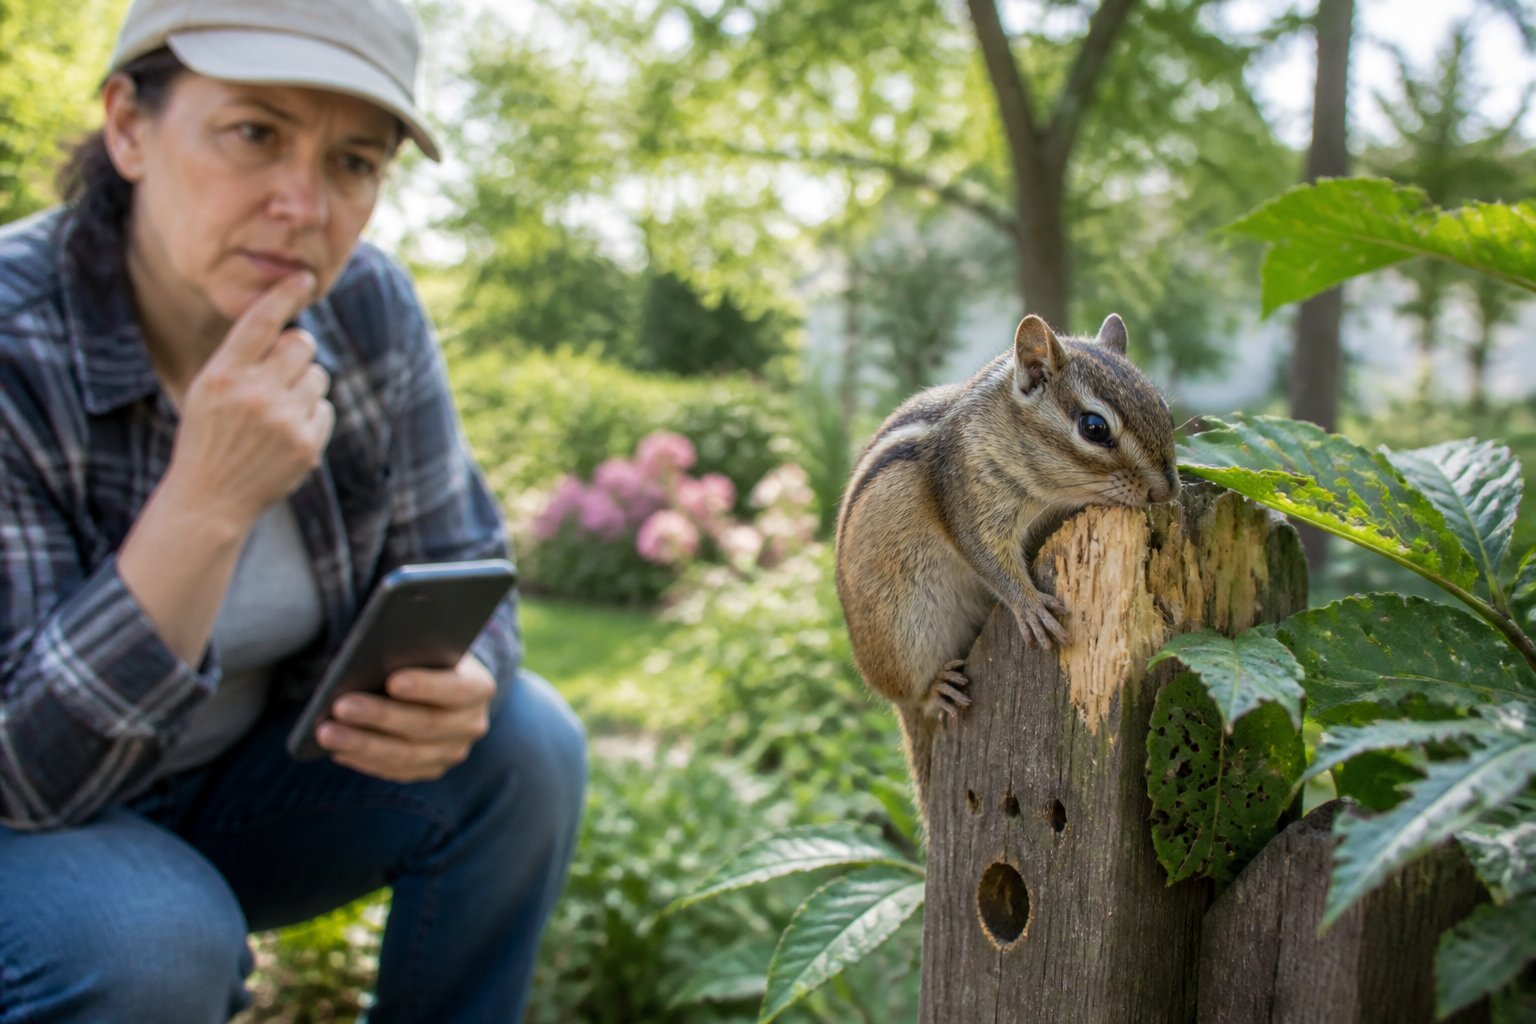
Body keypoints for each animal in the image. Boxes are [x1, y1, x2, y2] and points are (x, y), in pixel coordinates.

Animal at [834, 313, 1180, 815]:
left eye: (1165, 411)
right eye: (1094, 427)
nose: (1167, 490)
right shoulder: (969, 493)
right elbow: (986, 555)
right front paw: (1031, 607)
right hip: (903, 637)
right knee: (914, 695)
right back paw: (933, 689)